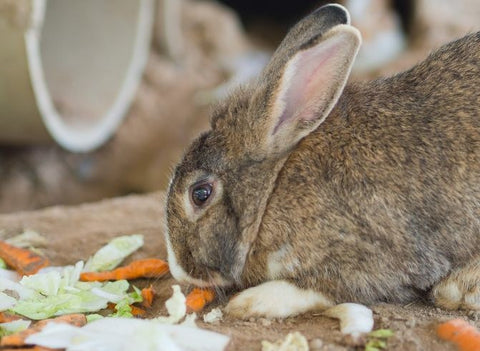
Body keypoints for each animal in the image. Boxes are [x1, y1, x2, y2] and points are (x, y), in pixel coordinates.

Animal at [164, 2, 480, 320]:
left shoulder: (375, 256)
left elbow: (321, 288)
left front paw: (250, 302)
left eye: (200, 194)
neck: (271, 192)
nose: (178, 270)